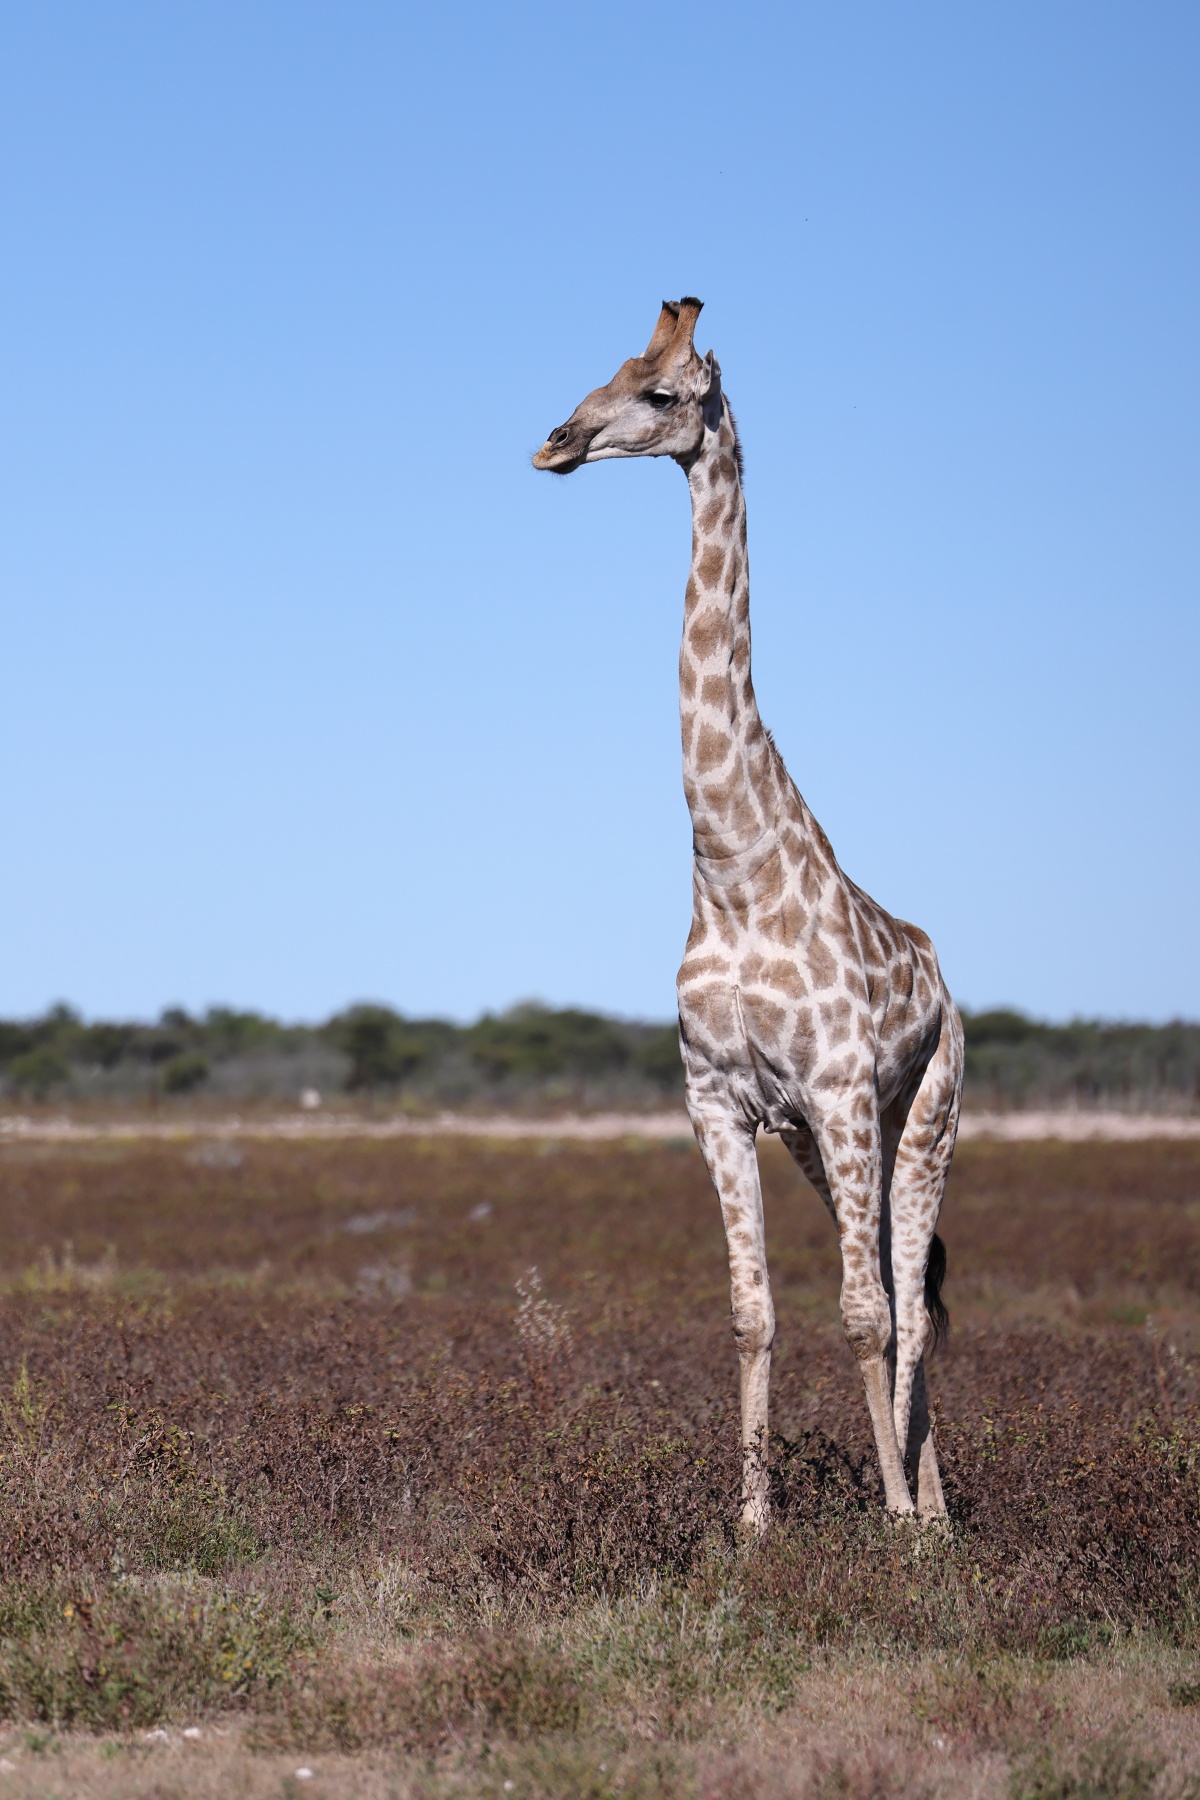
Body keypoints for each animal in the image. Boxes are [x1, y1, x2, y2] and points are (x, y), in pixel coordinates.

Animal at [533, 298, 963, 1530]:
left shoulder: (838, 1092)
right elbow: (751, 1313)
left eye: (665, 393)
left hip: (921, 1118)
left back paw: (933, 1520)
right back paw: (936, 1503)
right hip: (832, 1145)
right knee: (910, 1293)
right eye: (607, 370)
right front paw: (753, 1525)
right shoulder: (720, 1104)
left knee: (908, 1301)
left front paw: (894, 1523)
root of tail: (942, 974)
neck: (729, 868)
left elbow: (864, 1316)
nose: (557, 442)